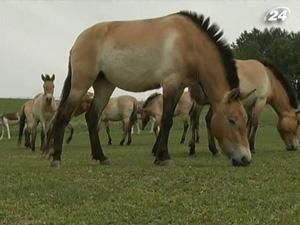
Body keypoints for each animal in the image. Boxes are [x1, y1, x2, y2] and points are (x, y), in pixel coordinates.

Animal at [48, 11, 252, 168]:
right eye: (232, 120)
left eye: (245, 120)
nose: (246, 159)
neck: (188, 41)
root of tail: (78, 41)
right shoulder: (170, 84)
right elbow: (167, 120)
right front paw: (165, 157)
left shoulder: (179, 87)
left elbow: (164, 121)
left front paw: (159, 156)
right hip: (80, 85)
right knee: (64, 115)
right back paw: (56, 158)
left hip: (104, 86)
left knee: (91, 117)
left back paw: (102, 157)